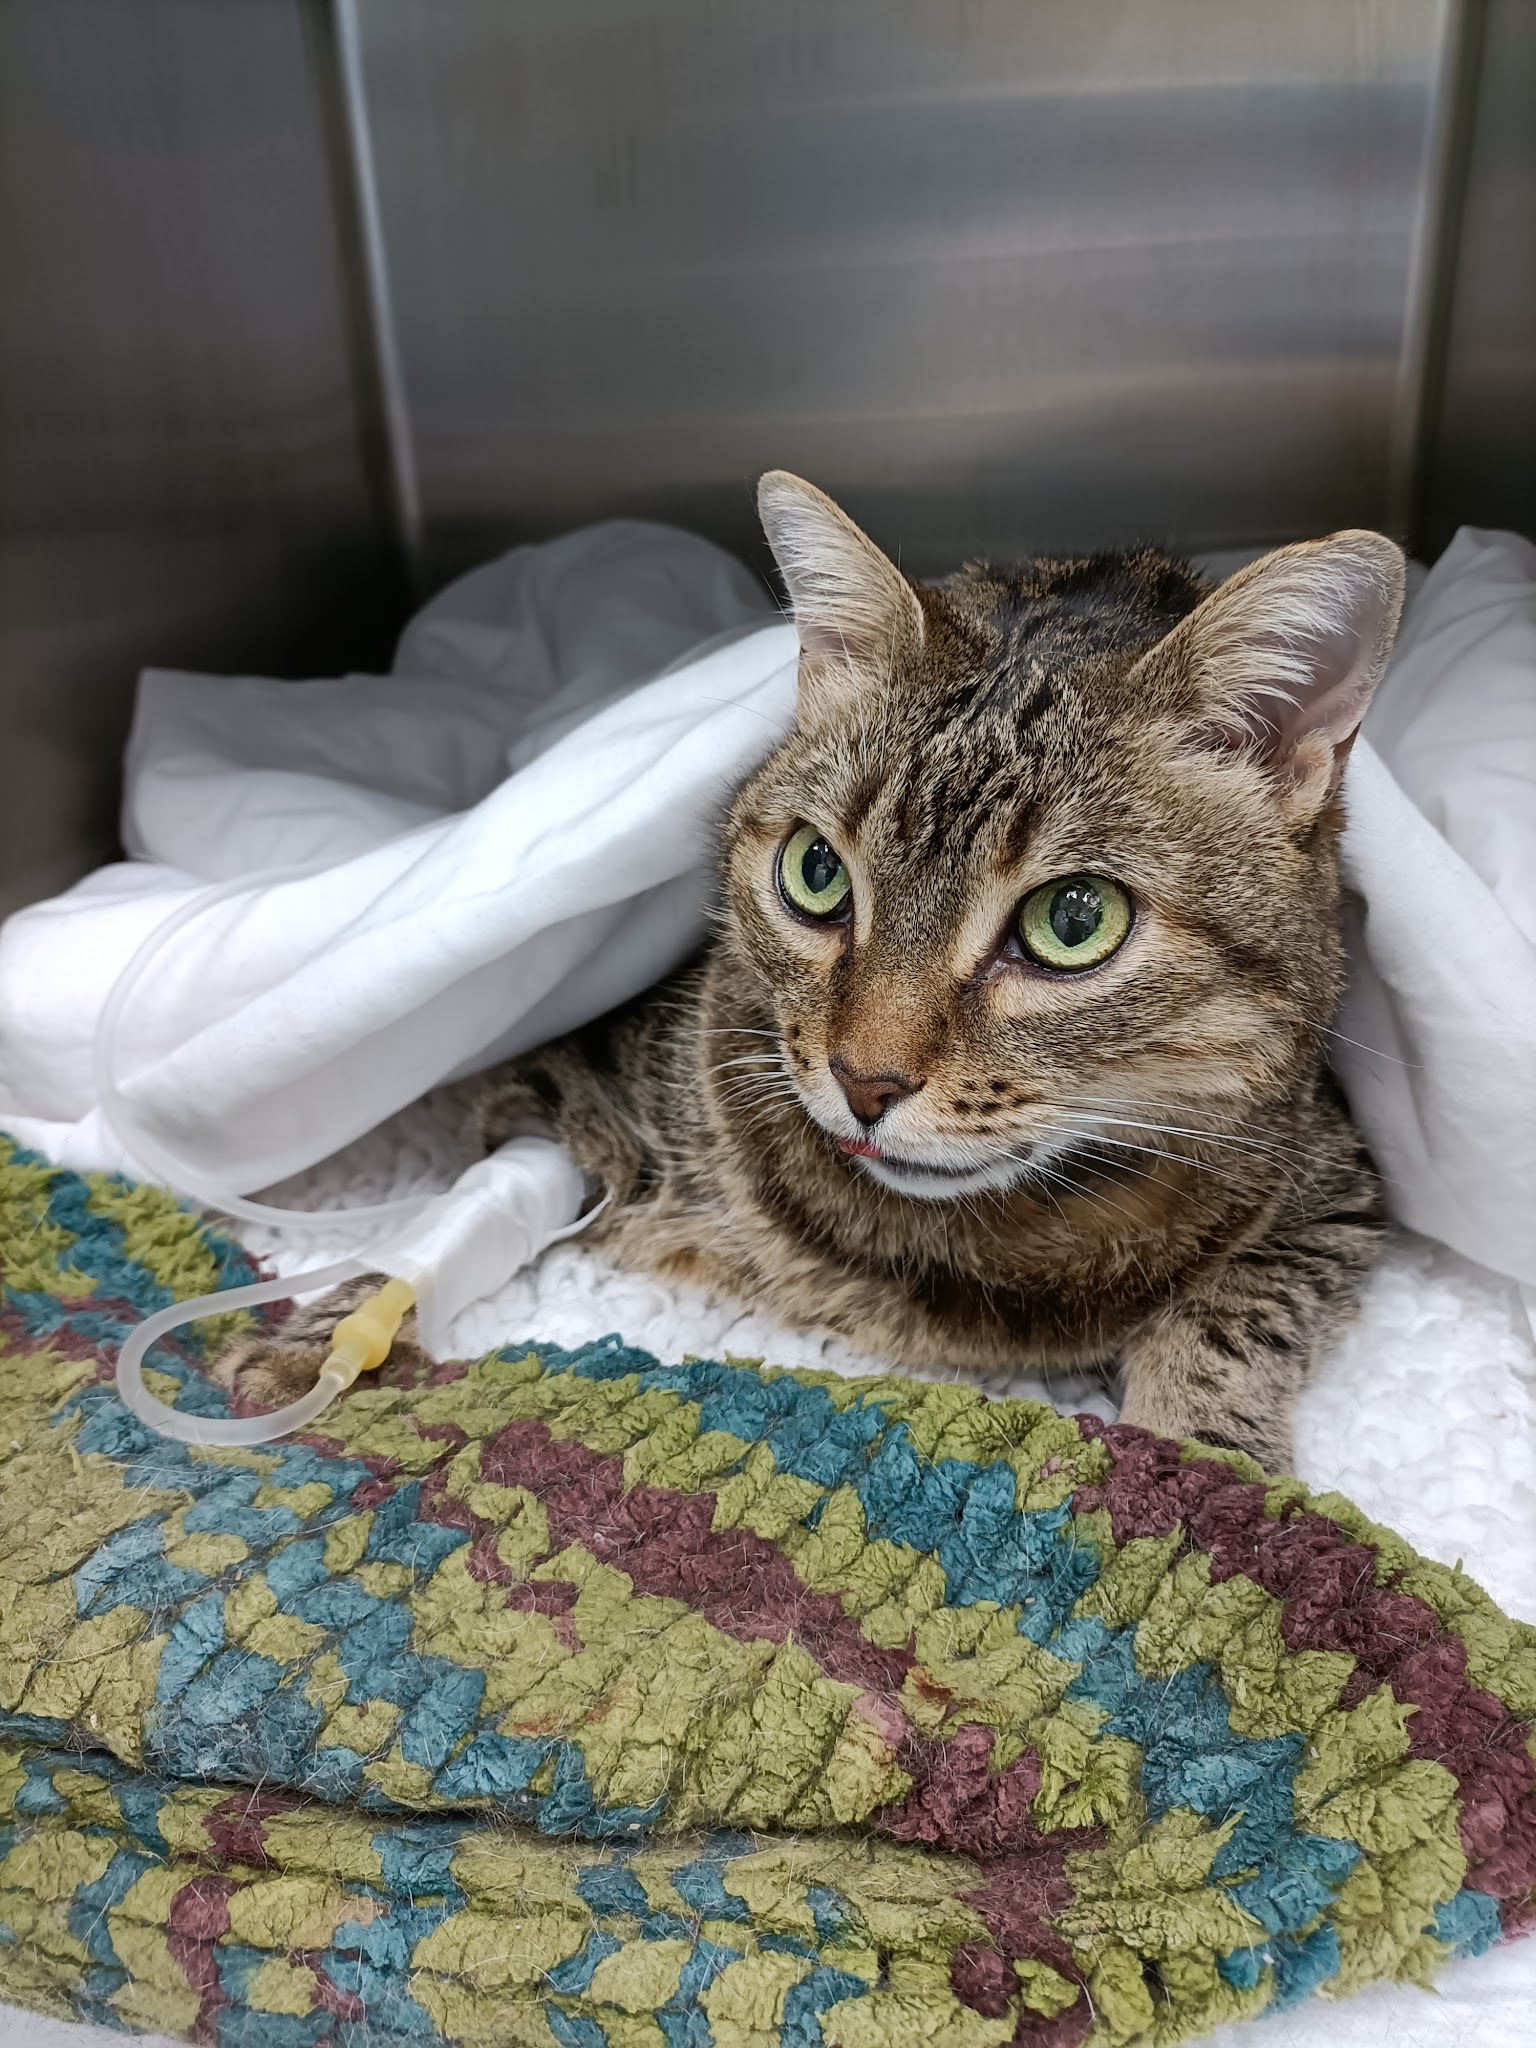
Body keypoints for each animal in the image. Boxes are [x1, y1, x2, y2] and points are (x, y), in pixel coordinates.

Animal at [216, 472, 1403, 1473]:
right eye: (816, 872)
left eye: (1075, 920)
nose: (864, 1081)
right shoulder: (566, 1076)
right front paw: (326, 1335)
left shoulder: (1333, 1182)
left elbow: (1232, 1317)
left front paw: (1207, 1467)